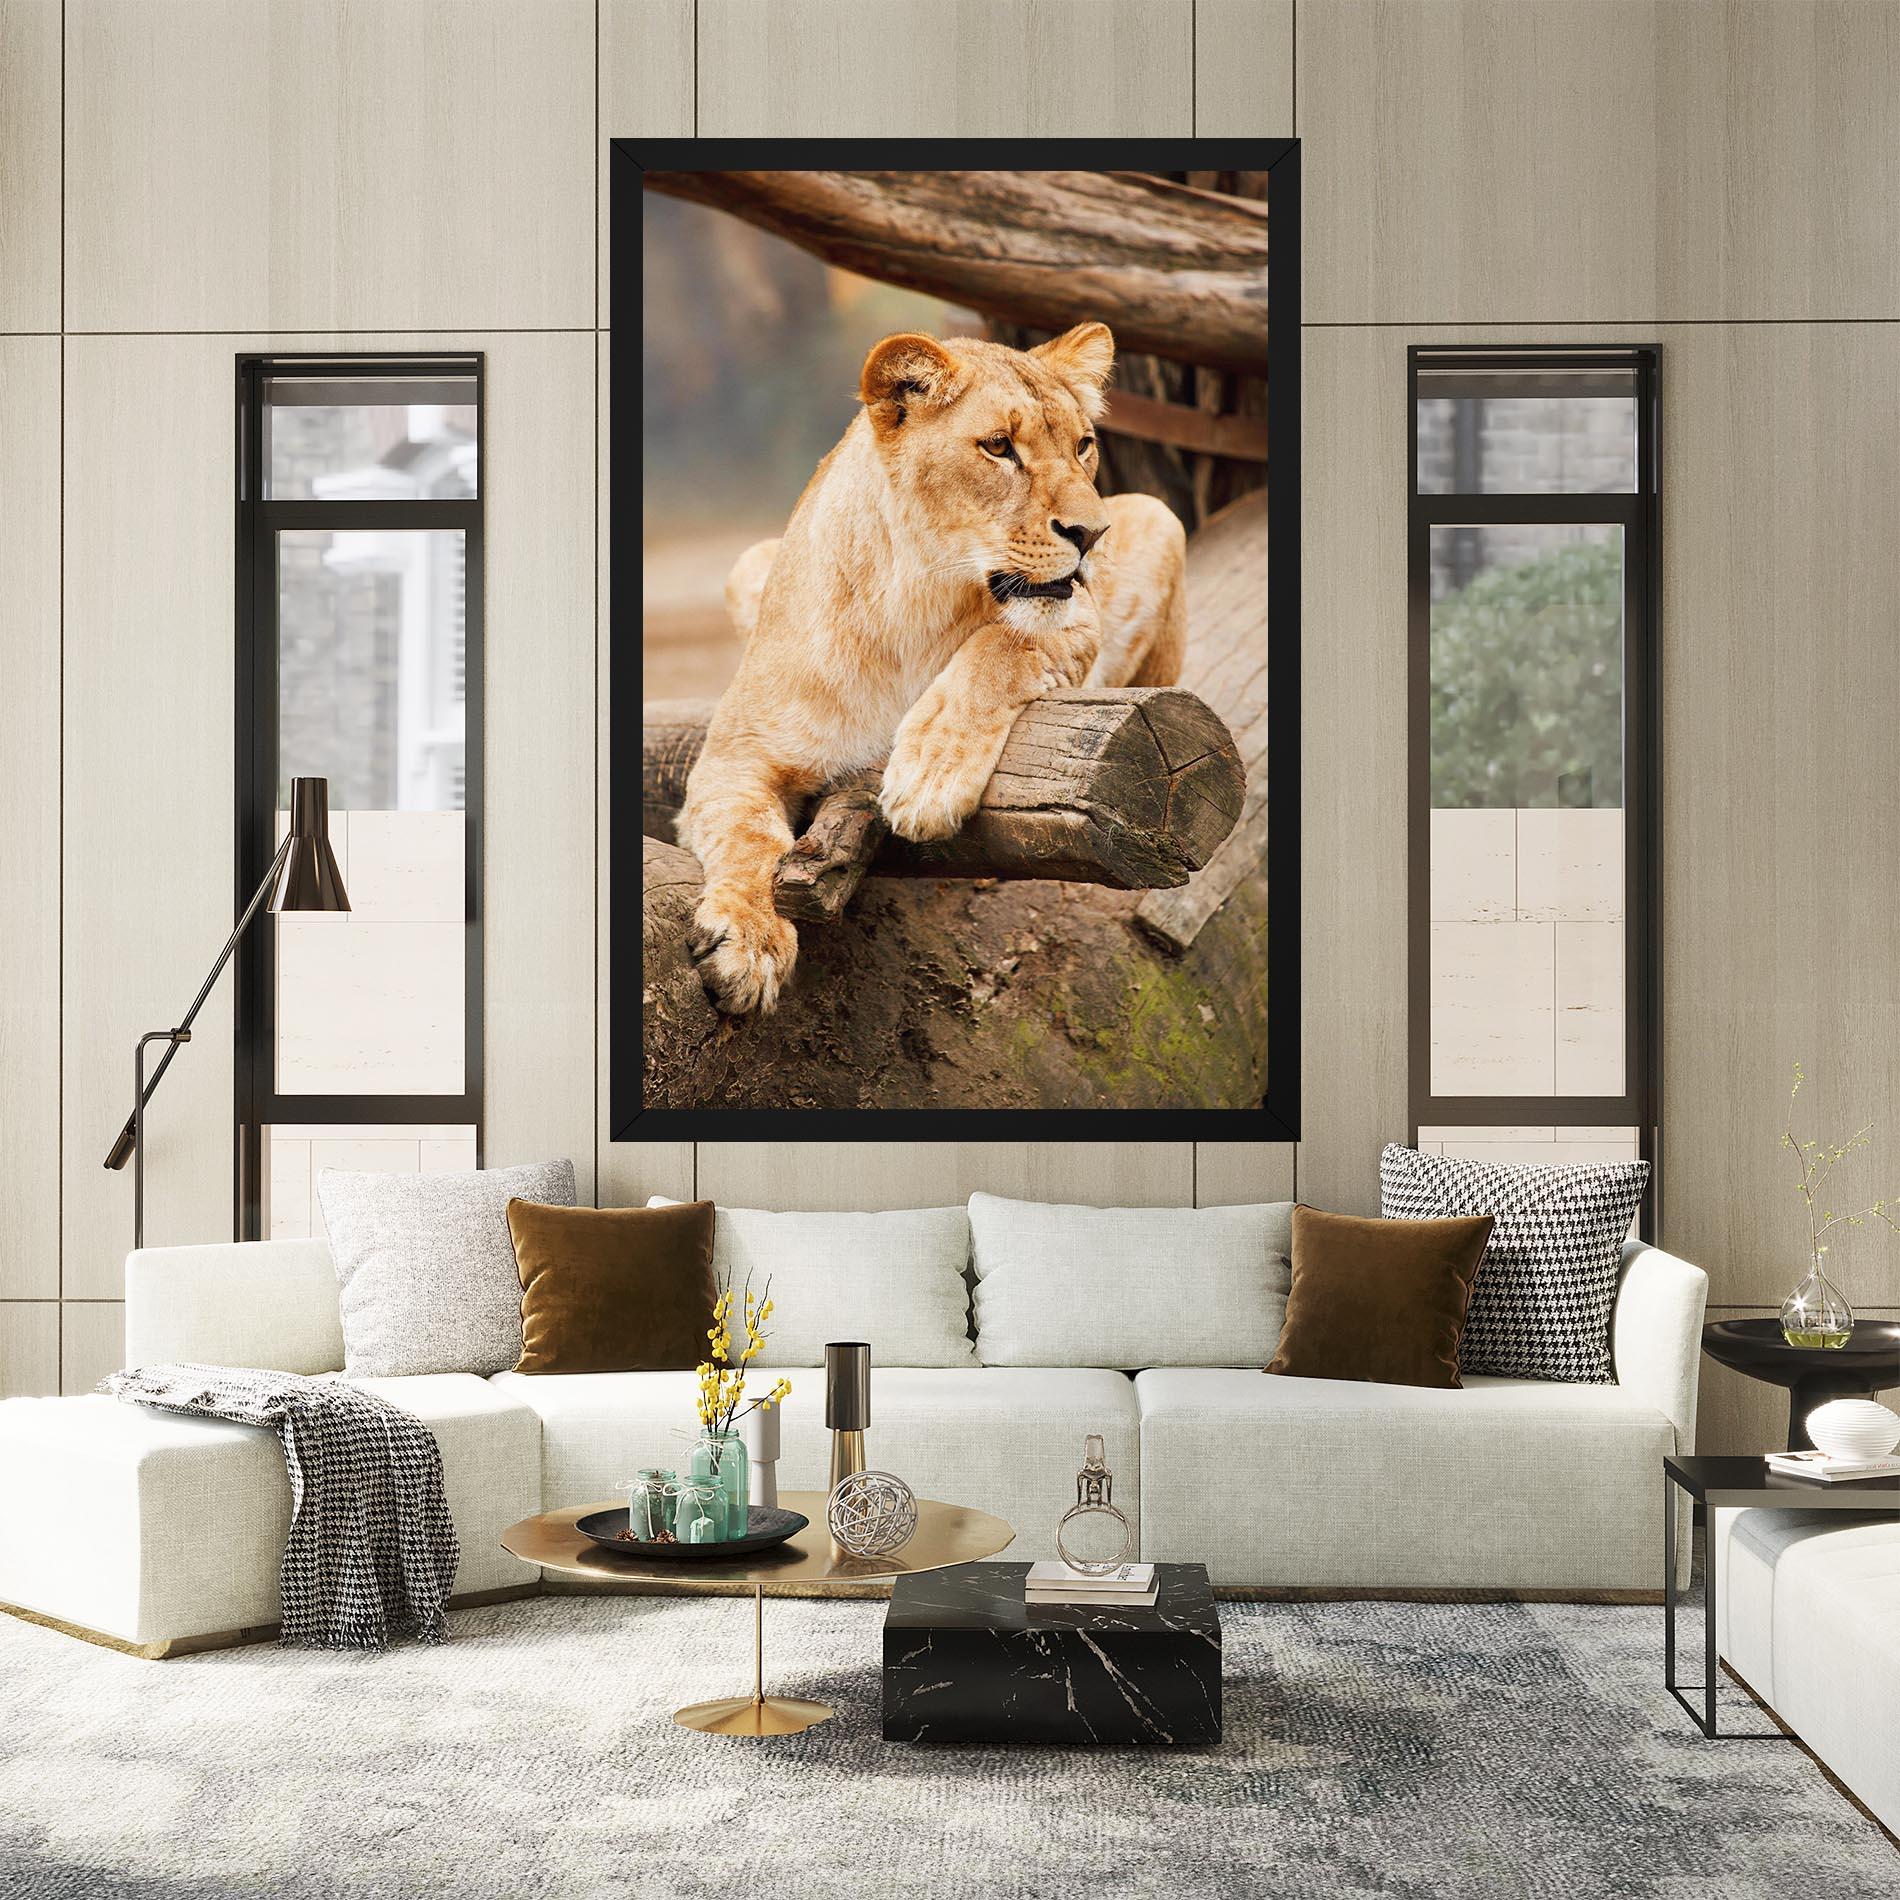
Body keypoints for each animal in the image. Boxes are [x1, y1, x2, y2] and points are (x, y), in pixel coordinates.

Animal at [675, 321, 1188, 1016]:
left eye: (1083, 446)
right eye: (998, 447)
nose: (1092, 534)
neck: (914, 603)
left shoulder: (1077, 621)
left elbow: (1001, 646)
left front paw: (928, 778)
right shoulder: (734, 757)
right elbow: (746, 836)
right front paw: (749, 942)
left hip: (1161, 518)